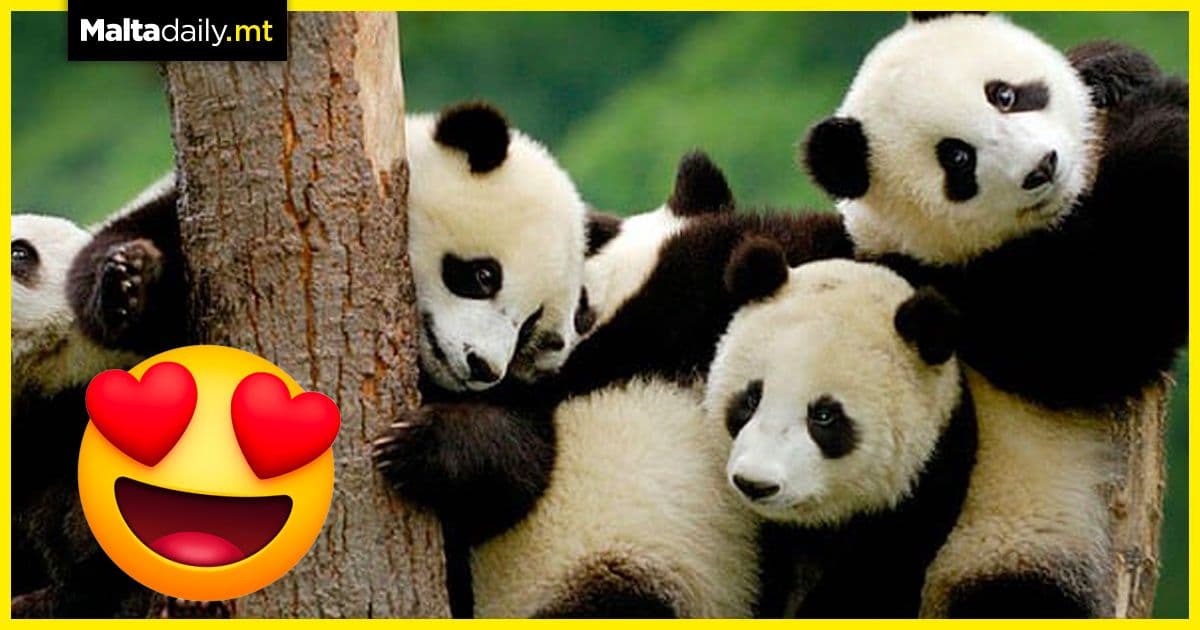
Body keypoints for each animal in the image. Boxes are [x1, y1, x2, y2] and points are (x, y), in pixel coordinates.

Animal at [802, 12, 1187, 617]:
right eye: (957, 158)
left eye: (1002, 94)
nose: (1042, 168)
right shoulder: (958, 294)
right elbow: (1092, 323)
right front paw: (1168, 125)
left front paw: (1112, 70)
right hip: (997, 547)